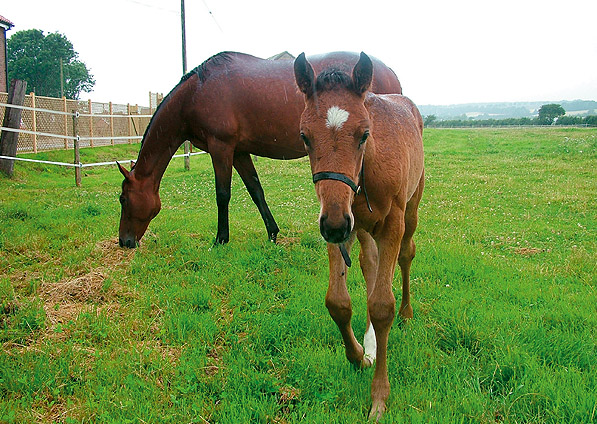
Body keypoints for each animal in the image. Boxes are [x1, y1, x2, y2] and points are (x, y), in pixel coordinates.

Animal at [116, 51, 400, 247]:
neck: (197, 91)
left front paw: (220, 239)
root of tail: (389, 71)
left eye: (122, 199)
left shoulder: (221, 147)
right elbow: (256, 190)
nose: (124, 241)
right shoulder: (239, 151)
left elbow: (222, 195)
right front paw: (272, 233)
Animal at [294, 51, 424, 420]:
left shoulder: (390, 223)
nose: (335, 225)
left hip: (412, 206)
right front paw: (357, 357)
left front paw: (379, 398)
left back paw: (406, 313)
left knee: (405, 255)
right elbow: (338, 302)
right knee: (370, 265)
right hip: (362, 228)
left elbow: (382, 305)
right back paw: (369, 343)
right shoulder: (339, 219)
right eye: (305, 137)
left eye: (364, 134)